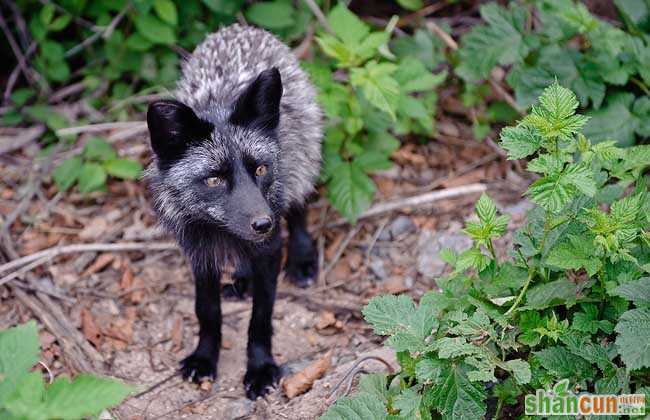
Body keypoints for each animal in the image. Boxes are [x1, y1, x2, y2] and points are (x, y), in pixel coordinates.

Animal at [144, 24, 322, 398]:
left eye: (260, 169)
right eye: (214, 179)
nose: (263, 223)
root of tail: (242, 28)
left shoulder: (270, 249)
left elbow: (261, 319)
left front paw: (260, 368)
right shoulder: (198, 254)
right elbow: (207, 311)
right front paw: (204, 357)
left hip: (302, 166)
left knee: (299, 209)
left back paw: (301, 260)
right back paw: (243, 279)